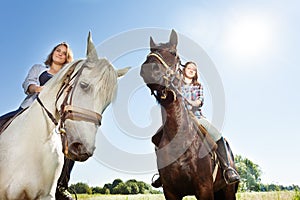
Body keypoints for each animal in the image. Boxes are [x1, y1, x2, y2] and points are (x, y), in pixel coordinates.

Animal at [139, 28, 238, 199]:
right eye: (150, 52)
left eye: (173, 53)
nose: (148, 69)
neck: (179, 141)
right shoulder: (170, 192)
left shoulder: (204, 189)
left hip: (229, 191)